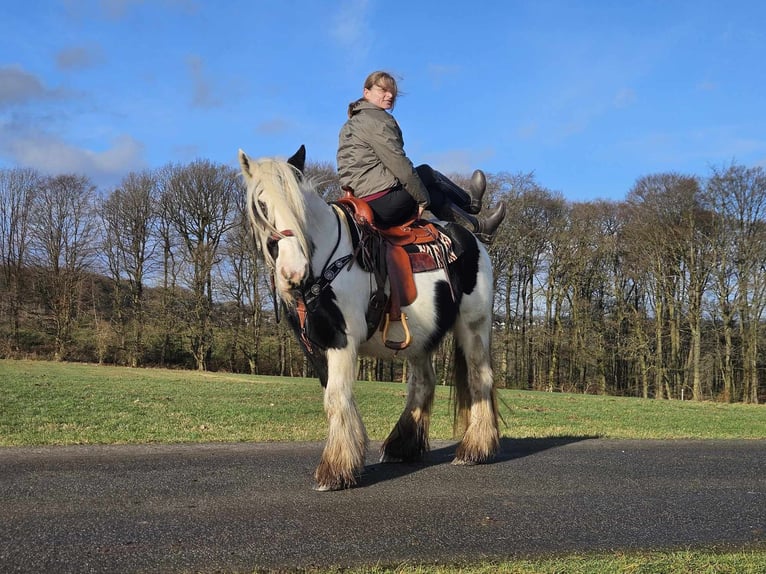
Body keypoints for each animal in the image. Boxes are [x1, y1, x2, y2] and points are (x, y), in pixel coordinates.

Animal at [240, 146, 504, 492]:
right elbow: (333, 396)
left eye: (299, 205)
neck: (329, 259)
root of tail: (473, 242)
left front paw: (335, 470)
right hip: (421, 339)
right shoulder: (313, 344)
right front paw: (347, 461)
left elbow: (336, 396)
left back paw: (475, 449)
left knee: (479, 378)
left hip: (474, 326)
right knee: (423, 383)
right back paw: (402, 446)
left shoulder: (342, 339)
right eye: (261, 205)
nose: (293, 271)